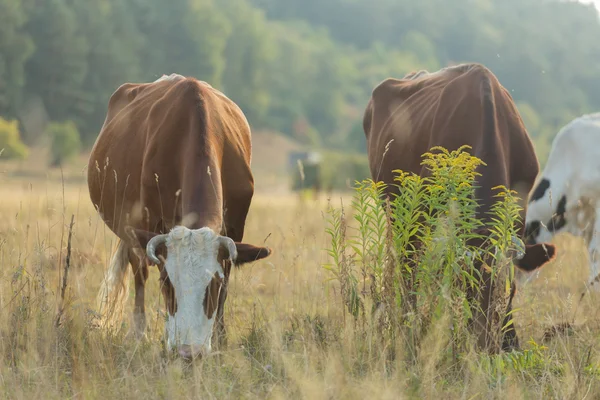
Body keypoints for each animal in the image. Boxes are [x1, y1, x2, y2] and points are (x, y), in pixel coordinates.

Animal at [87, 72, 272, 360]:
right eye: (167, 282)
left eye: (213, 284)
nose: (189, 351)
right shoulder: (147, 223)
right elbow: (143, 275)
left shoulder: (235, 229)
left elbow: (227, 286)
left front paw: (220, 339)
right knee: (138, 273)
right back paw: (138, 333)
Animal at [366, 62, 556, 354]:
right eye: (466, 288)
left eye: (507, 291)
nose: (486, 347)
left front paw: (511, 341)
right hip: (397, 214)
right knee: (407, 268)